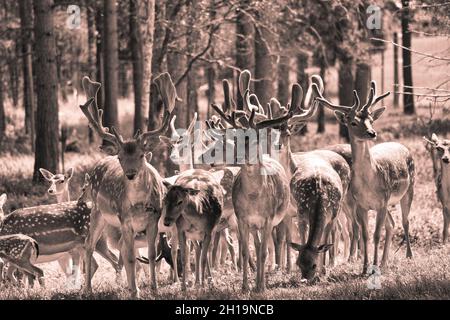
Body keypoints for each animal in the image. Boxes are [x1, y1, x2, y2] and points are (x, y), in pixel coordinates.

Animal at [79, 73, 174, 298]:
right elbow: (131, 257)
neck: (139, 205)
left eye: (141, 155)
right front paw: (136, 291)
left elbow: (151, 254)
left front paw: (154, 289)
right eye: (121, 157)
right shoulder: (125, 221)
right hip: (97, 211)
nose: (130, 175)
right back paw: (88, 289)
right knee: (89, 244)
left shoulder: (153, 220)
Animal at [312, 79, 414, 272]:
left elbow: (376, 235)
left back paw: (409, 256)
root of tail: (402, 146)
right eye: (352, 122)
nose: (372, 133)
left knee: (405, 222)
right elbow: (365, 234)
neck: (369, 182)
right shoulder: (361, 205)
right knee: (391, 224)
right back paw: (385, 262)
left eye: (371, 120)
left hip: (409, 189)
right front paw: (366, 266)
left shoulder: (382, 202)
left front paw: (373, 266)